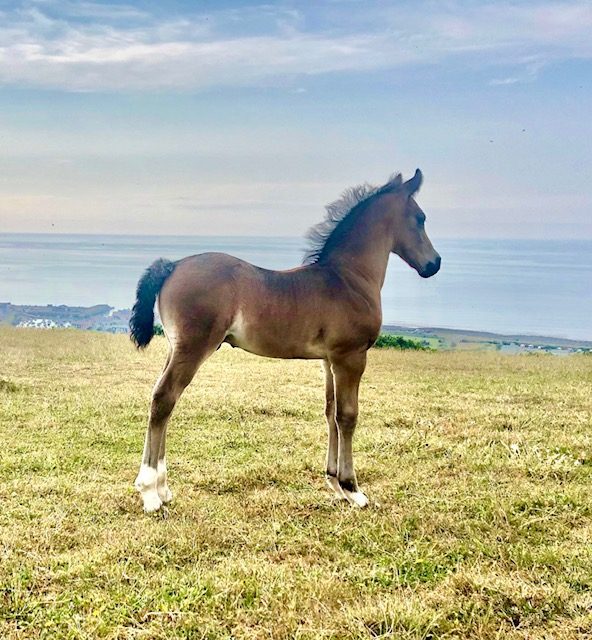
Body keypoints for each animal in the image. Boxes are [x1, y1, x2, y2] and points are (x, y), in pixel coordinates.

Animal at [132, 168, 442, 512]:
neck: (348, 278)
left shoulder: (329, 360)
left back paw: (162, 488)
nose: (434, 264)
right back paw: (151, 492)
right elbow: (348, 416)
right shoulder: (351, 356)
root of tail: (172, 266)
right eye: (420, 218)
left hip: (175, 348)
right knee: (164, 399)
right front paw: (353, 489)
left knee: (162, 399)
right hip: (193, 348)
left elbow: (330, 412)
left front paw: (334, 482)